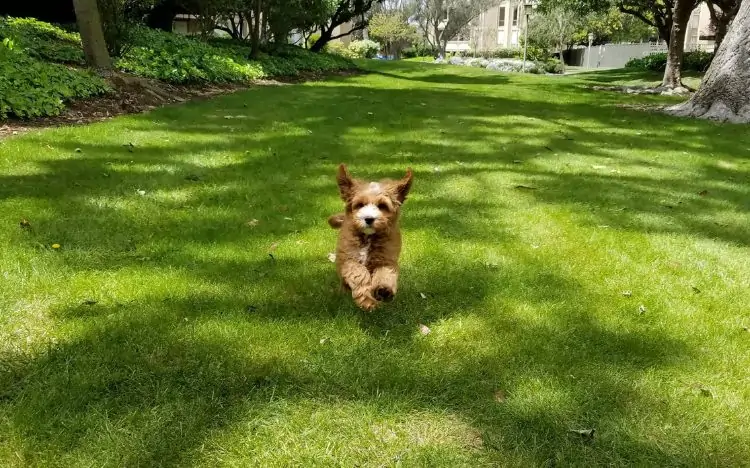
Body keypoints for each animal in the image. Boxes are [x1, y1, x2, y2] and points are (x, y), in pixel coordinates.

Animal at [328, 164, 414, 310]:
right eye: (360, 205)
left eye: (382, 206)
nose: (369, 219)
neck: (368, 238)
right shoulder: (348, 259)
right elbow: (359, 272)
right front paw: (368, 300)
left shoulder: (386, 259)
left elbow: (385, 274)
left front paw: (383, 290)